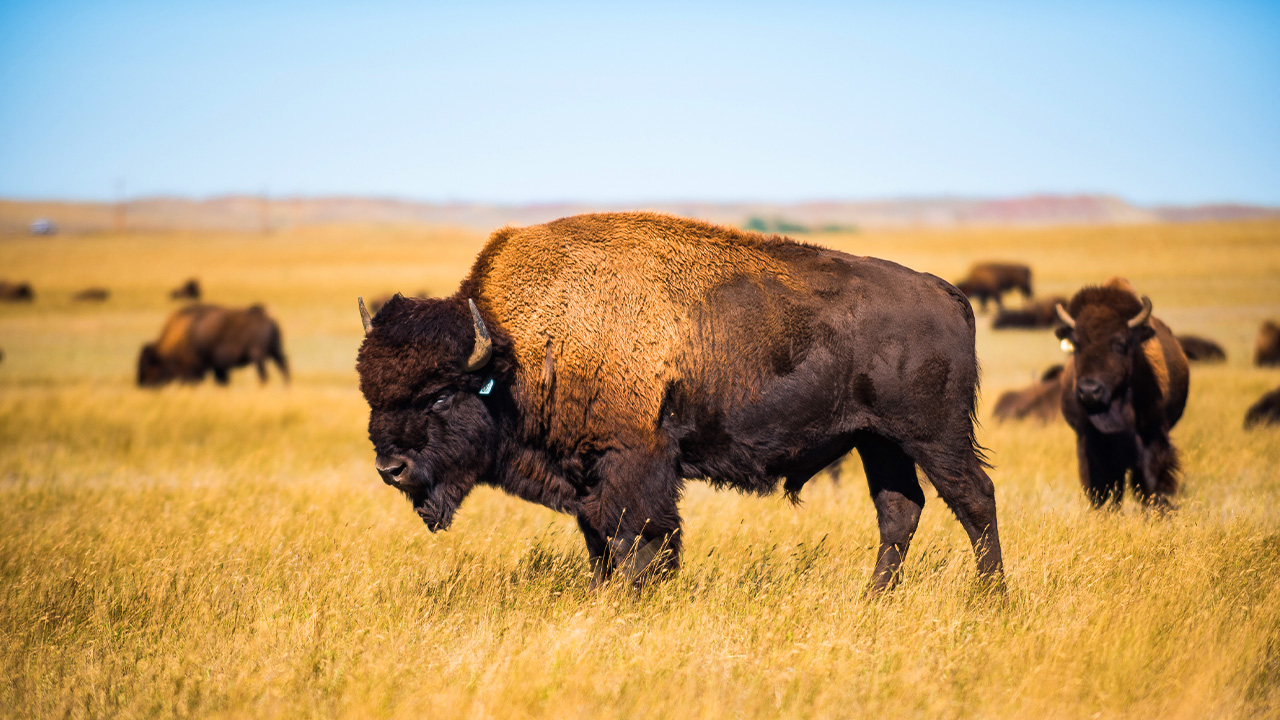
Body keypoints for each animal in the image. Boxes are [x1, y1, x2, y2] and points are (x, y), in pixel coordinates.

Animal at [138, 301, 291, 384]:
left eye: (149, 367)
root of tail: (267, 318)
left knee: (264, 375)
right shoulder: (219, 368)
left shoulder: (199, 367)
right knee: (283, 366)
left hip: (258, 356)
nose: (142, 384)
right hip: (274, 351)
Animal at [1049, 278, 1187, 507]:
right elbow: (1101, 486)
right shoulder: (1089, 441)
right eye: (1076, 344)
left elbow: (1152, 480)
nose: (1089, 391)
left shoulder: (1153, 435)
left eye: (1121, 343)